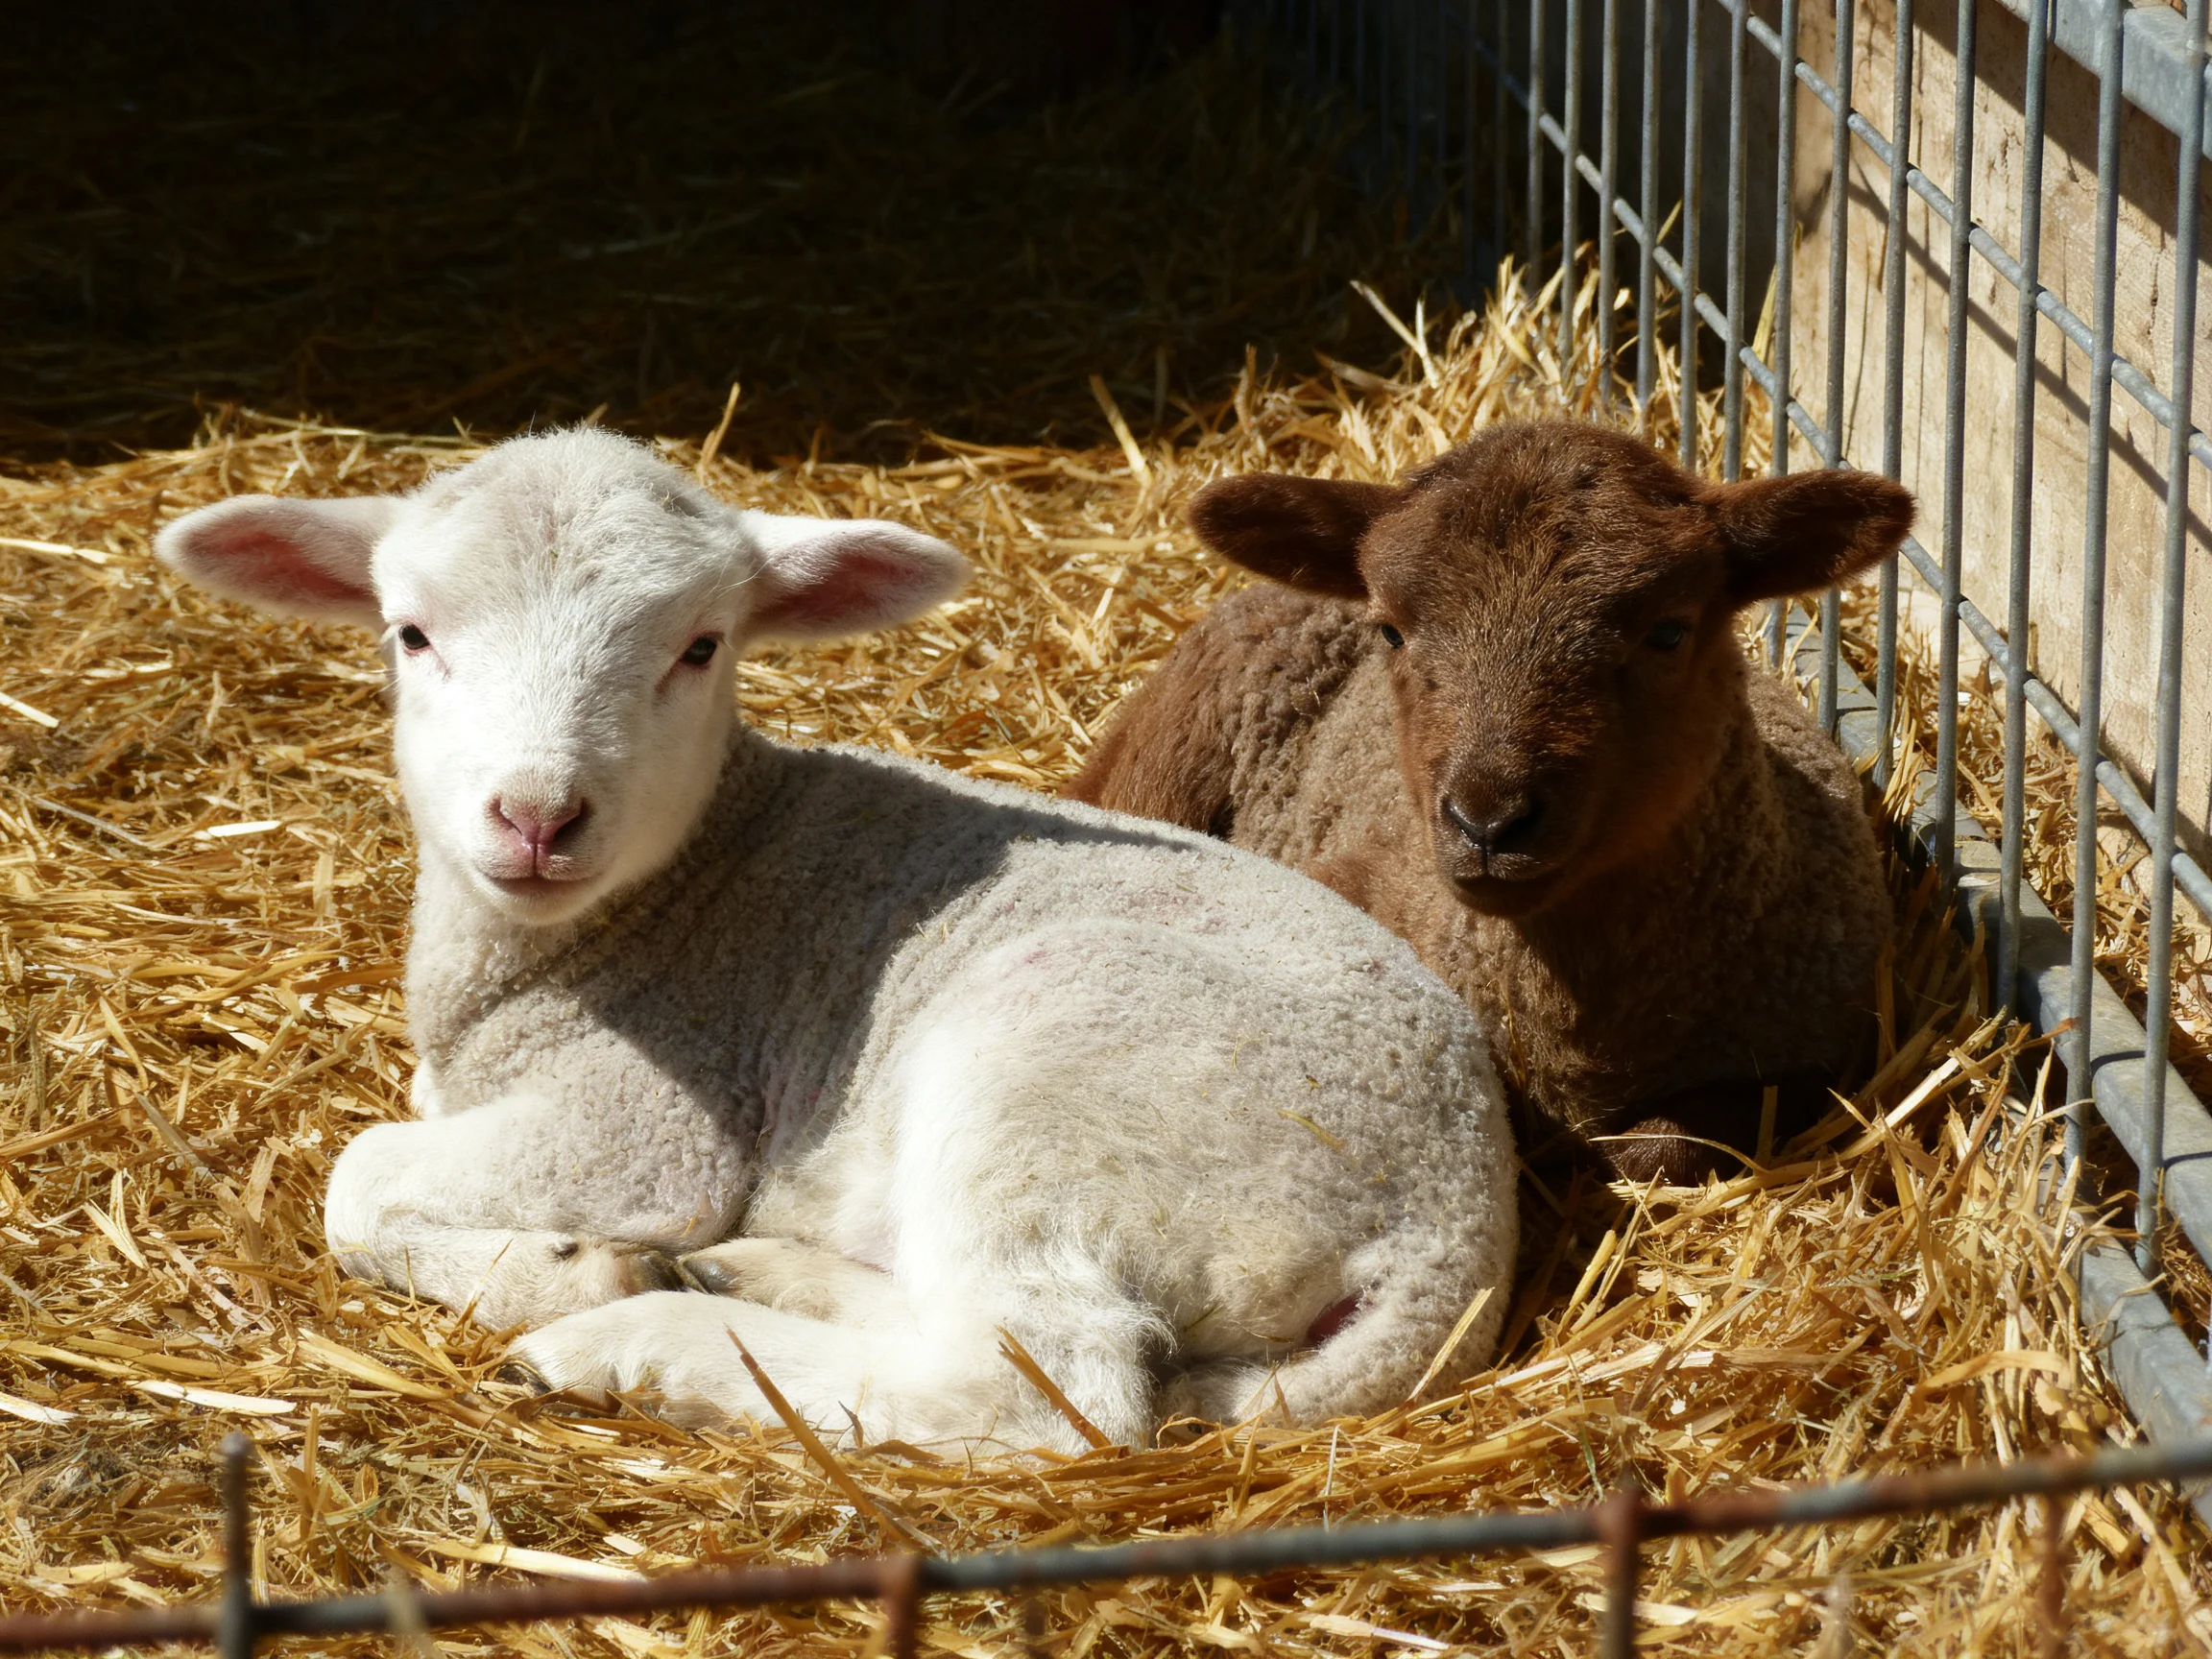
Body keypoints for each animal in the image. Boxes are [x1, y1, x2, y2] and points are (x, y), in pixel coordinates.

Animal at [153, 427, 1516, 1451]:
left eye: (701, 647)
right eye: (412, 633)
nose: (538, 817)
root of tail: (1456, 1225)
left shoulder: (655, 1119)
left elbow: (358, 1177)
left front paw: (581, 1268)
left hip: (1070, 1086)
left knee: (1036, 1385)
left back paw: (637, 1342)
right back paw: (757, 1279)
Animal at [1068, 420, 1914, 1183]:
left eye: (1670, 632)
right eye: (1391, 630)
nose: (1488, 823)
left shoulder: (1823, 1058)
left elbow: (1664, 1147)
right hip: (1159, 767)